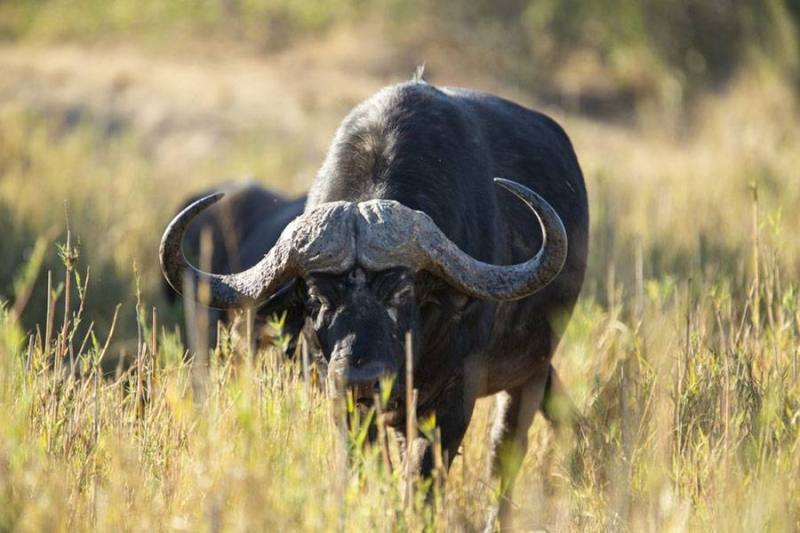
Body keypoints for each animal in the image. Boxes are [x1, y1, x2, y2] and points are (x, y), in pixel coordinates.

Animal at [161, 77, 588, 524]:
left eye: (402, 291)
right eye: (315, 298)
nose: (360, 378)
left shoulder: (455, 399)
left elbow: (424, 478)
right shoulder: (341, 399)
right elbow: (366, 469)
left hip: (529, 371)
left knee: (505, 452)